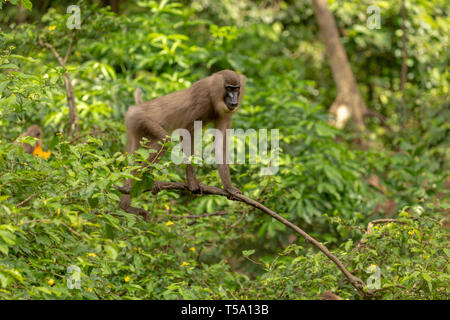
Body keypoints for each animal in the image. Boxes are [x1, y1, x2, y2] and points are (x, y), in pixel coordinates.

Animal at [118, 70, 246, 218]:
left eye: (236, 89)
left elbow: (220, 144)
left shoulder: (225, 113)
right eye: (229, 88)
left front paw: (229, 188)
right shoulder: (202, 100)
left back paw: (125, 205)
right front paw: (192, 183)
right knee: (164, 139)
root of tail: (135, 108)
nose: (234, 100)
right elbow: (186, 133)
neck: (213, 93)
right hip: (141, 121)